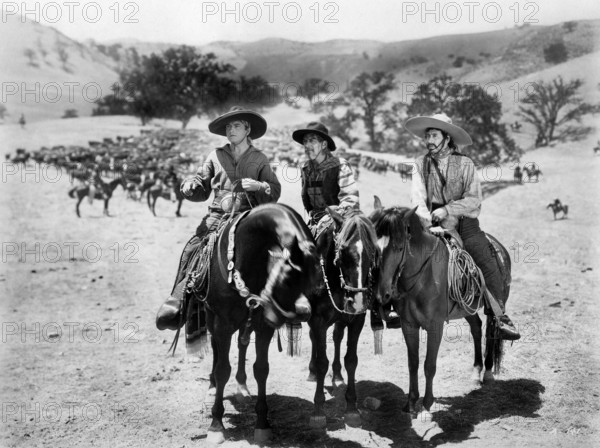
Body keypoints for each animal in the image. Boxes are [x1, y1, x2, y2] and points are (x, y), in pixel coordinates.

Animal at [196, 204, 318, 444]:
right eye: (288, 276)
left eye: (312, 279)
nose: (302, 313)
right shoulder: (223, 324)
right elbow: (223, 369)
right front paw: (216, 425)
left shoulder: (263, 326)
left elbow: (261, 369)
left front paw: (262, 424)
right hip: (211, 316)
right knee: (216, 351)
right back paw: (212, 387)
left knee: (243, 345)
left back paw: (242, 388)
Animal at [304, 208, 380, 428]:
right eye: (344, 251)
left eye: (373, 251)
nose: (358, 300)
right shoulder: (318, 320)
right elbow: (322, 361)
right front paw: (318, 410)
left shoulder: (356, 320)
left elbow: (351, 360)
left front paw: (352, 408)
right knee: (315, 340)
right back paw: (312, 372)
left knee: (337, 337)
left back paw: (337, 375)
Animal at [368, 199, 508, 416]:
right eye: (374, 247)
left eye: (399, 247)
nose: (382, 295)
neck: (422, 277)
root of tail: (499, 247)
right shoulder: (409, 325)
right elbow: (413, 363)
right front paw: (411, 402)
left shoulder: (436, 326)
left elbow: (429, 365)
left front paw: (427, 403)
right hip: (466, 309)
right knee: (476, 327)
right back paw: (476, 371)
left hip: (493, 308)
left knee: (492, 331)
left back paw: (488, 372)